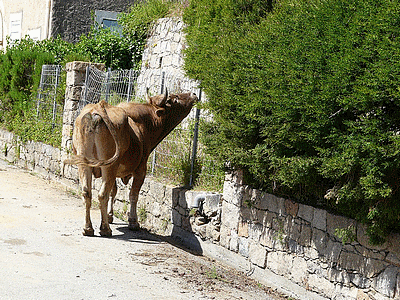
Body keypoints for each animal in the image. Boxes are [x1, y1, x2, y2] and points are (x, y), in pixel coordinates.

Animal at [63, 90, 198, 236]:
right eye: (175, 98)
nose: (194, 94)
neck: (142, 124)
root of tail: (97, 109)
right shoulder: (140, 169)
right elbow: (133, 195)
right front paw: (133, 222)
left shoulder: (114, 171)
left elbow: (114, 191)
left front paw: (110, 216)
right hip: (108, 166)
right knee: (102, 194)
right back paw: (105, 229)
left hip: (84, 165)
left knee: (87, 193)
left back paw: (88, 228)